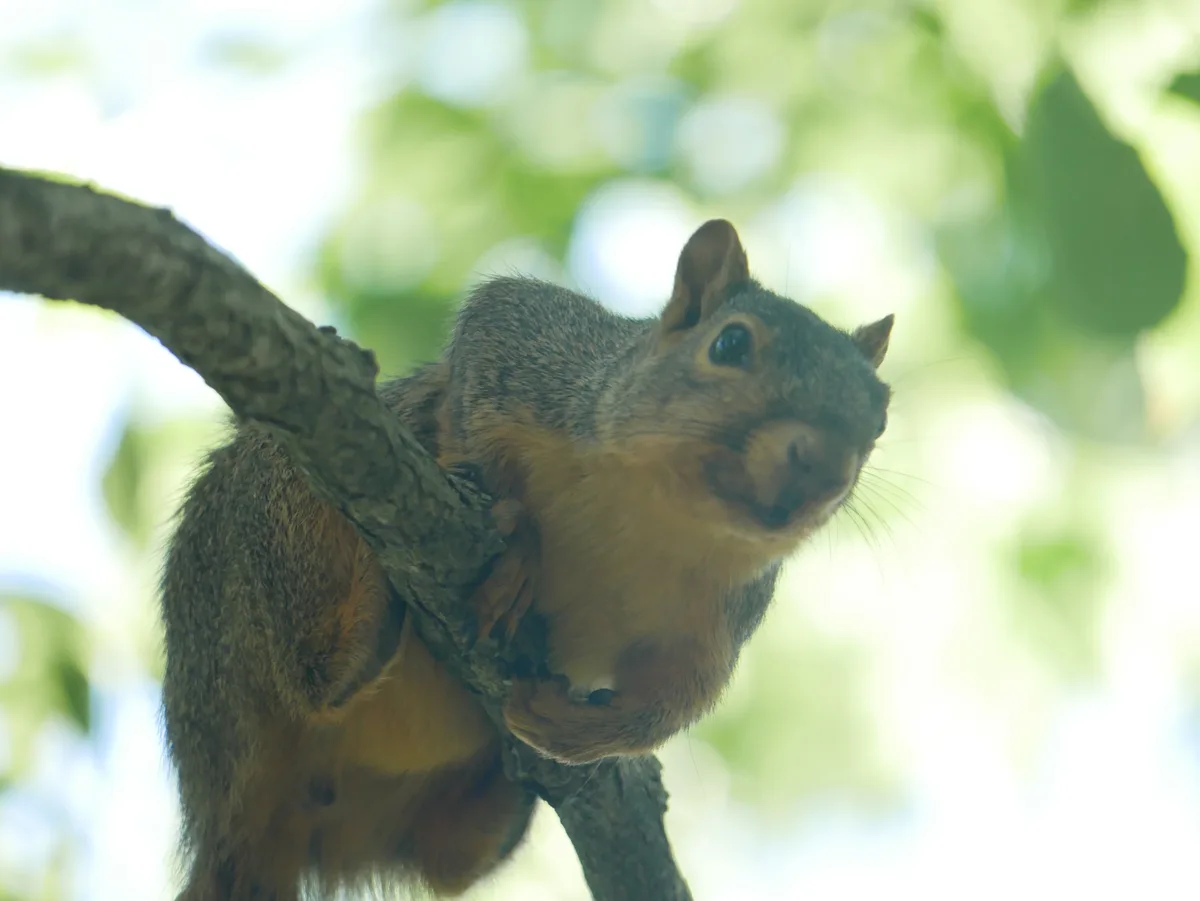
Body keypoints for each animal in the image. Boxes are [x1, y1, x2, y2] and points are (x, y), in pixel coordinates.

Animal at [159, 218, 893, 900]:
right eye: (731, 343)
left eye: (881, 413)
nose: (825, 467)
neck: (650, 518)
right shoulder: (534, 350)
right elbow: (473, 395)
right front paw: (516, 545)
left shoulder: (718, 620)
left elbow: (682, 699)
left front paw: (586, 733)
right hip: (265, 528)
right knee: (311, 672)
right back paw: (364, 608)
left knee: (454, 862)